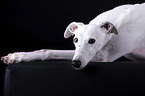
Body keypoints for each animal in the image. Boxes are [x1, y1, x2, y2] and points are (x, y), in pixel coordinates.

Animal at [1, 2, 145, 69]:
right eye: (75, 40)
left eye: (92, 41)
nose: (76, 63)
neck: (119, 22)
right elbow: (48, 51)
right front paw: (17, 56)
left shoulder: (103, 56)